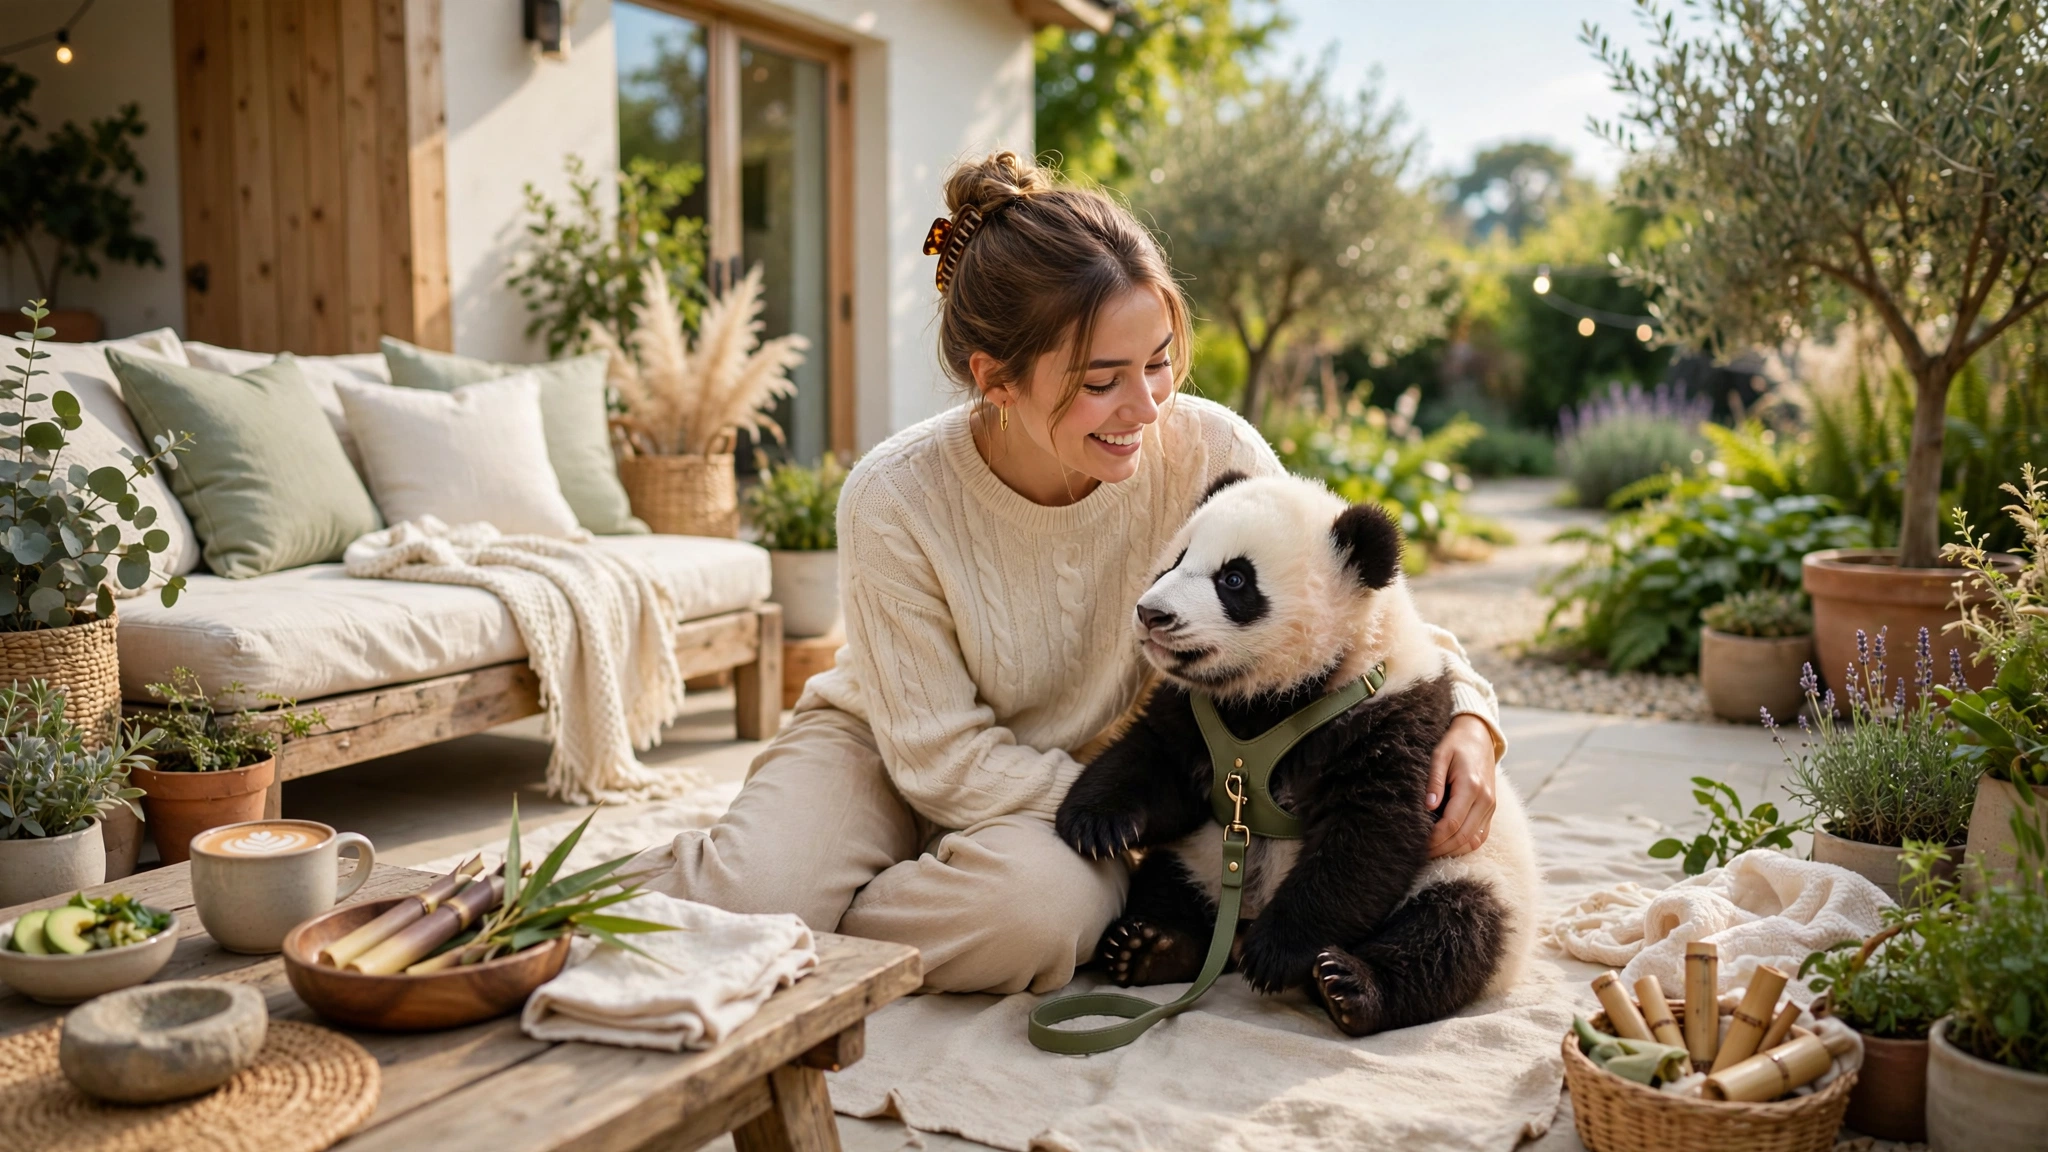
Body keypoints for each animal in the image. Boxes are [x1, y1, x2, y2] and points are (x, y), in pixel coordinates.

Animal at [1054, 471, 1538, 1037]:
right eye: (1176, 559)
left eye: (1235, 580)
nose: (1152, 615)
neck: (1277, 696)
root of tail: (1236, 930)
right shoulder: (1197, 714)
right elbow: (1154, 762)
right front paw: (1093, 823)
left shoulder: (1389, 717)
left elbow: (1368, 833)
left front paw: (1276, 953)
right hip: (1198, 858)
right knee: (1167, 883)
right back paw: (1152, 946)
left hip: (1474, 874)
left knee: (1451, 934)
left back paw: (1348, 986)